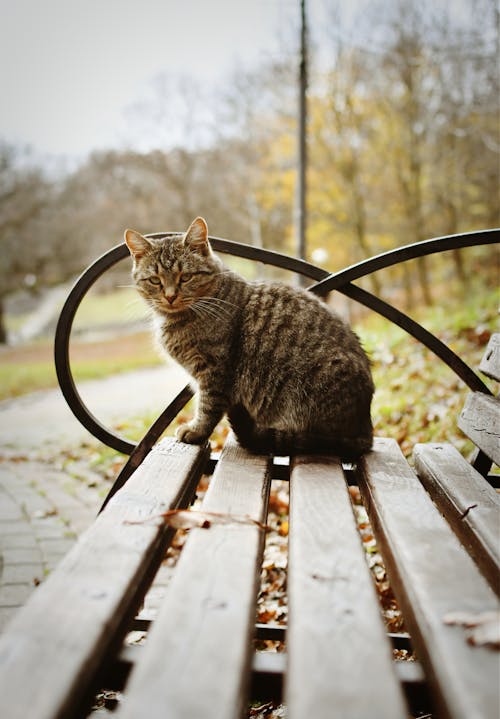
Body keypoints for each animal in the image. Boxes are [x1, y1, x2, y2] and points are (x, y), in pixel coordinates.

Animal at [125, 217, 376, 458]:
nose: (170, 296)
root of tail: (367, 430)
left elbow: (207, 407)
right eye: (155, 280)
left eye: (185, 277)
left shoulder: (214, 371)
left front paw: (196, 431)